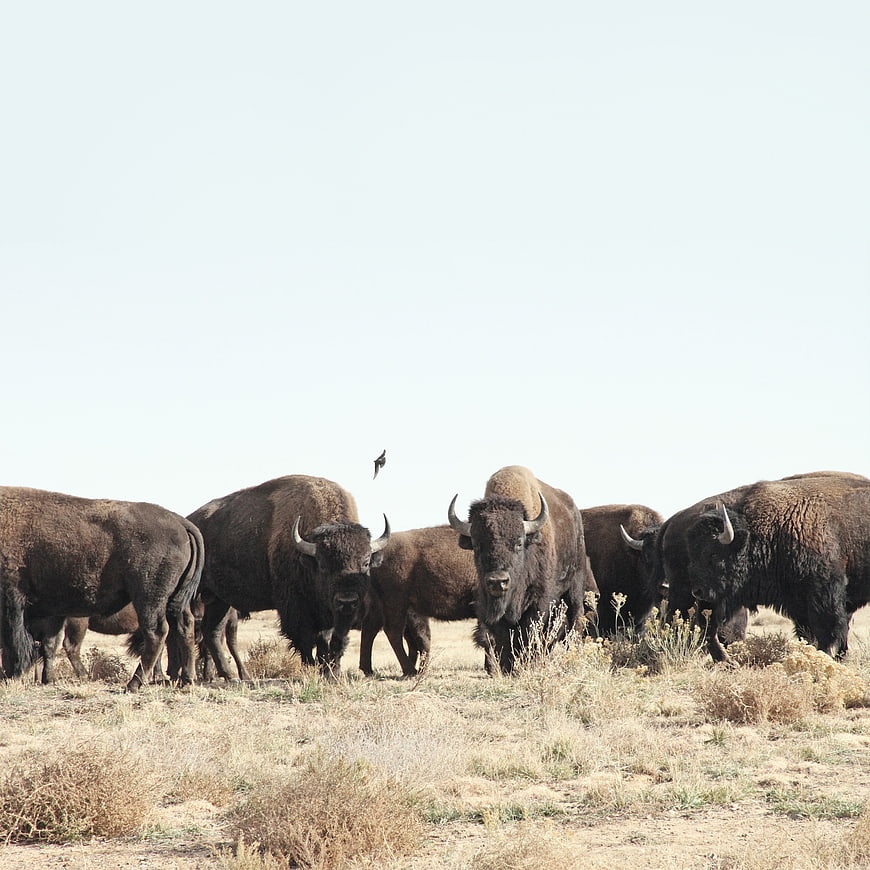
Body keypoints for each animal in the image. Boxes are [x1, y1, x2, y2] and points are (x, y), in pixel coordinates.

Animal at [0, 487, 202, 691]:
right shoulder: (52, 611)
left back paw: (133, 684)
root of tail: (179, 521)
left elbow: (14, 644)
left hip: (149, 598)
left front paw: (13, 677)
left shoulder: (14, 602)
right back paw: (187, 679)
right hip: (175, 600)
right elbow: (48, 644)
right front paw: (47, 679)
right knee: (185, 626)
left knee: (156, 632)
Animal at [190, 474, 390, 679]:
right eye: (323, 565)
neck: (307, 557)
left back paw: (229, 675)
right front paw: (311, 668)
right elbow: (305, 639)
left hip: (219, 600)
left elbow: (328, 639)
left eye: (366, 562)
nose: (347, 600)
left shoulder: (331, 615)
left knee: (212, 632)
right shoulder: (295, 608)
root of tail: (191, 520)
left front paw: (328, 670)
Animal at [361, 525, 477, 676]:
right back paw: (410, 670)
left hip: (381, 606)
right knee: (393, 632)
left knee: (371, 629)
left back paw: (369, 670)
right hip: (396, 604)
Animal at [448, 465, 596, 673]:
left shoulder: (540, 600)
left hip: (574, 586)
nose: (498, 581)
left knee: (574, 619)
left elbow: (530, 631)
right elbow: (503, 636)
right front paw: (507, 667)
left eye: (518, 542)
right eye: (477, 545)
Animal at [683, 473, 870, 661]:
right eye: (692, 554)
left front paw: (825, 655)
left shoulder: (825, 593)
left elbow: (828, 629)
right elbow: (808, 632)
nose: (697, 591)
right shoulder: (799, 603)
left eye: (713, 554)